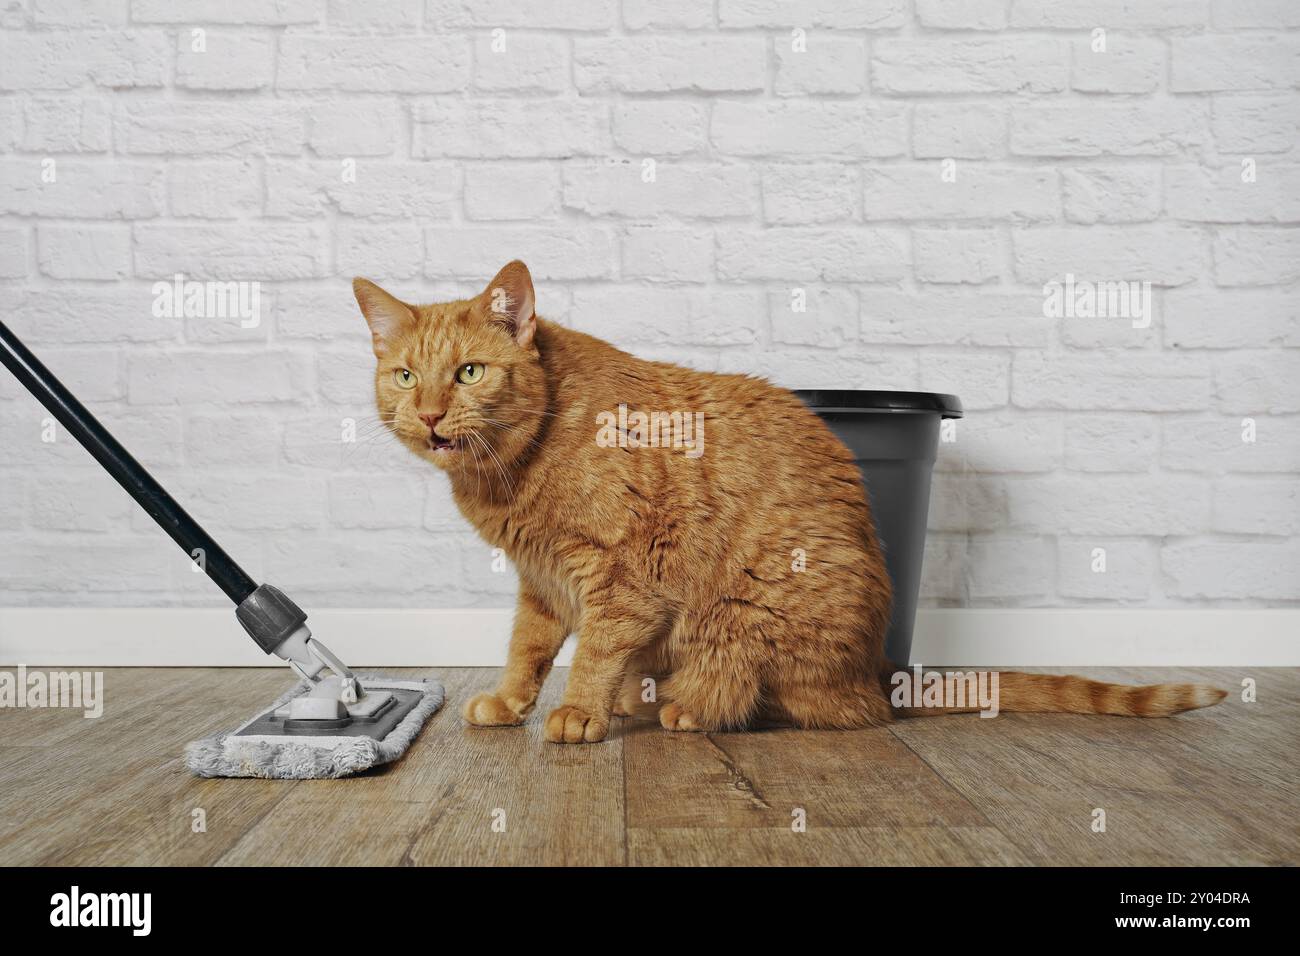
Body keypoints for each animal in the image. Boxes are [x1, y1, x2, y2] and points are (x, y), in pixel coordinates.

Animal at [351, 264, 1222, 749]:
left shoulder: (622, 580)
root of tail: (876, 671)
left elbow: (593, 651)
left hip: (748, 607)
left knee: (782, 701)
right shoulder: (541, 582)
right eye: (405, 376)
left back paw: (682, 708)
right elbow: (527, 649)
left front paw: (577, 713)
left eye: (469, 373)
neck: (510, 472)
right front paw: (512, 702)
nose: (429, 414)